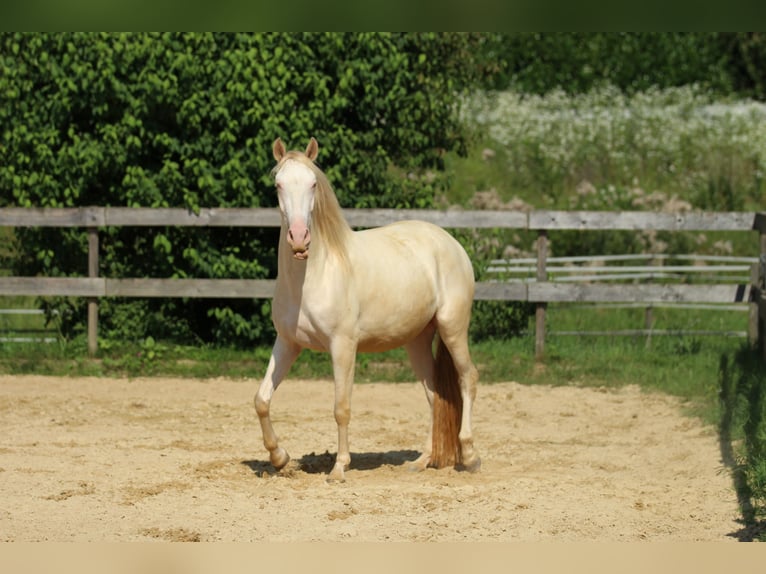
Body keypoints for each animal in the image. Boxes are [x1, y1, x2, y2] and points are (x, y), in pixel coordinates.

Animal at [255, 137, 484, 484]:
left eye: (312, 183)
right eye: (278, 184)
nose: (299, 239)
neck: (314, 276)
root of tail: (451, 243)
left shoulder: (343, 346)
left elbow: (341, 407)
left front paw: (339, 468)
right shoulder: (288, 343)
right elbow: (262, 400)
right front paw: (280, 458)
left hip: (453, 328)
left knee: (467, 378)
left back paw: (470, 456)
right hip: (418, 341)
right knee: (434, 395)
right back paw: (422, 461)